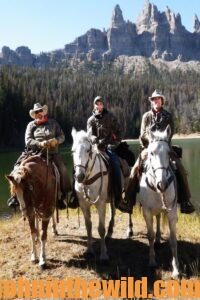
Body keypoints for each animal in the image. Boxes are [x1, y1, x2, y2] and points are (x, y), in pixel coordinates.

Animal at [71, 127, 115, 262]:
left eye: (88, 150)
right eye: (73, 150)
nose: (79, 176)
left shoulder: (100, 203)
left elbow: (100, 228)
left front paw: (104, 255)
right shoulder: (84, 205)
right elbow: (88, 226)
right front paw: (89, 251)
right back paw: (110, 232)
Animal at [137, 125, 179, 278]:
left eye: (169, 153)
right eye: (151, 153)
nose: (162, 185)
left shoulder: (172, 211)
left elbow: (173, 240)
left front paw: (176, 269)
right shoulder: (146, 212)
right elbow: (149, 235)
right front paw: (152, 261)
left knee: (159, 217)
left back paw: (159, 238)